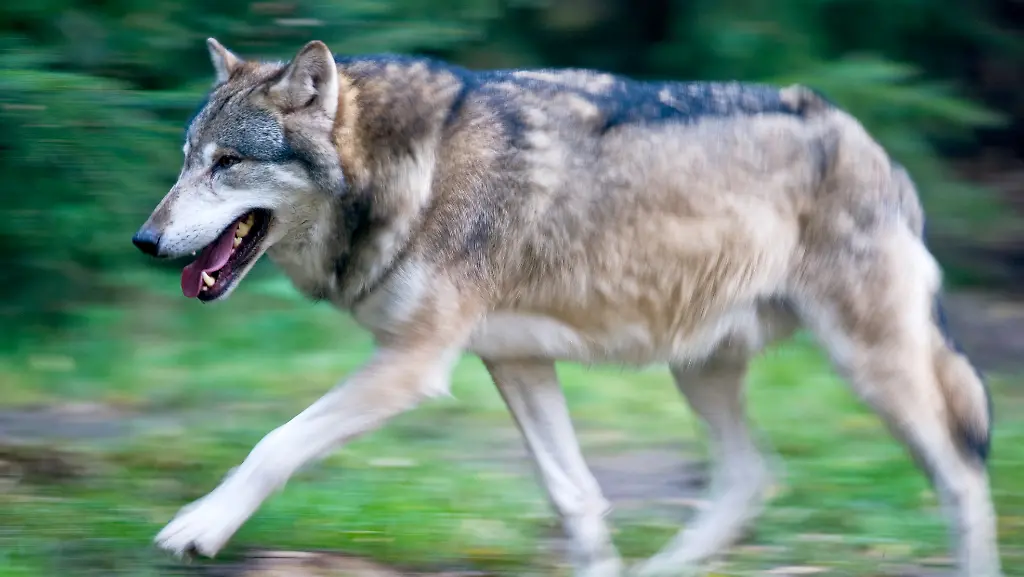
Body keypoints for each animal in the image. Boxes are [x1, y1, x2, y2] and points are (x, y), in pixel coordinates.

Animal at [132, 38, 1002, 576]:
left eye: (227, 163)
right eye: (184, 162)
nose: (144, 238)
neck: (406, 173)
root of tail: (870, 142)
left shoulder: (412, 365)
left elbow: (274, 443)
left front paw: (198, 525)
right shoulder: (515, 360)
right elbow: (575, 496)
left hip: (871, 367)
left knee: (960, 473)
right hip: (701, 369)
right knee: (753, 476)